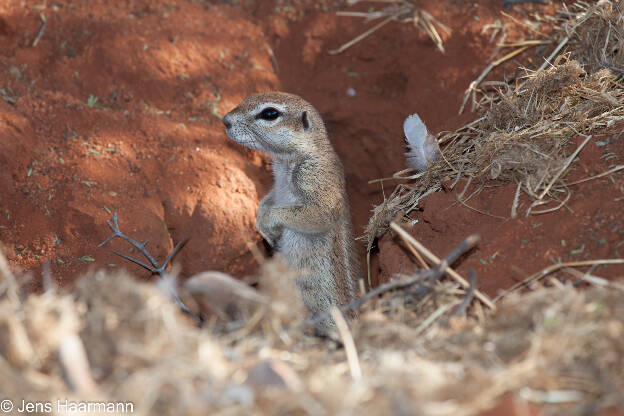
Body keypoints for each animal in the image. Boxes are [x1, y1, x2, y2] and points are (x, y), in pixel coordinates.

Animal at [224, 92, 360, 328]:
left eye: (270, 113)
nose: (225, 120)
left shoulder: (316, 178)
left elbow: (318, 213)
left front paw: (269, 222)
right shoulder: (276, 187)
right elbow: (267, 200)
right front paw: (261, 222)